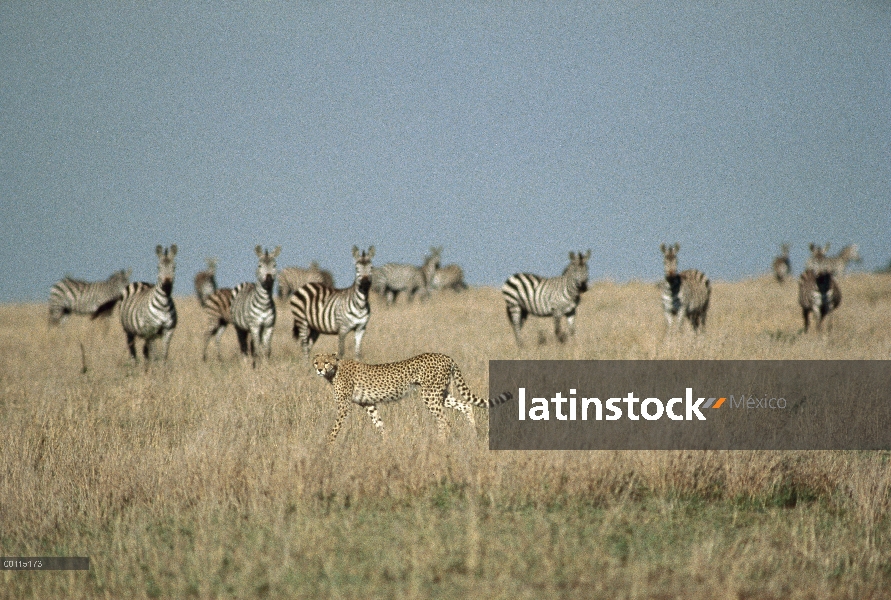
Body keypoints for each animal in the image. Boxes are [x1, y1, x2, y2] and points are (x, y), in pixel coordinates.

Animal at [314, 352, 512, 440]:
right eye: (316, 362)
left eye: (326, 362)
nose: (319, 369)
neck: (335, 370)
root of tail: (446, 356)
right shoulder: (369, 404)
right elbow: (379, 424)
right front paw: (387, 444)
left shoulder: (344, 406)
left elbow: (335, 429)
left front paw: (328, 448)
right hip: (440, 394)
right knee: (466, 405)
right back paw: (473, 433)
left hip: (430, 394)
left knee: (444, 420)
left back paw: (441, 444)